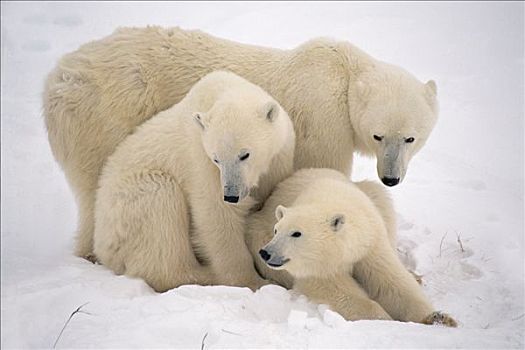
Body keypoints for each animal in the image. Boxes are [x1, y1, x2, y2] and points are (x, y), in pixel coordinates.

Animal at [44, 26, 438, 258]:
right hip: (104, 117)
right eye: (378, 135)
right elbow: (323, 175)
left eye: (411, 138)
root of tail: (59, 77)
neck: (342, 74)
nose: (390, 178)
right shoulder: (323, 119)